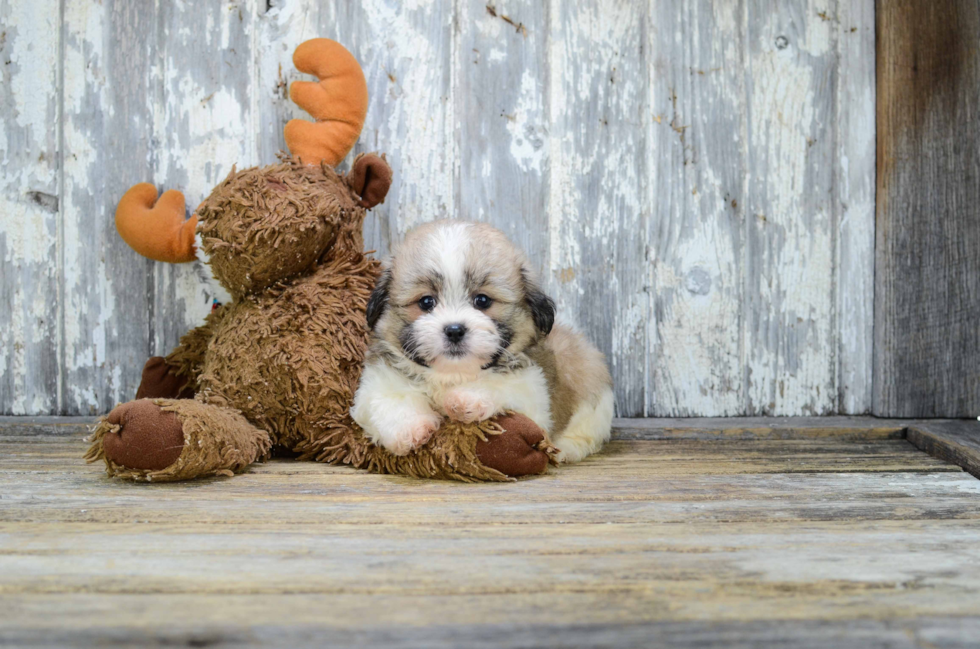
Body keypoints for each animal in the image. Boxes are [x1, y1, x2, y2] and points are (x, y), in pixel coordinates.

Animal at [352, 220, 612, 464]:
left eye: (482, 300)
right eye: (426, 302)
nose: (454, 330)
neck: (451, 375)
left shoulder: (532, 390)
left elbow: (500, 384)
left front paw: (465, 399)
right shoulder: (376, 383)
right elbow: (388, 400)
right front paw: (410, 430)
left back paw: (566, 449)